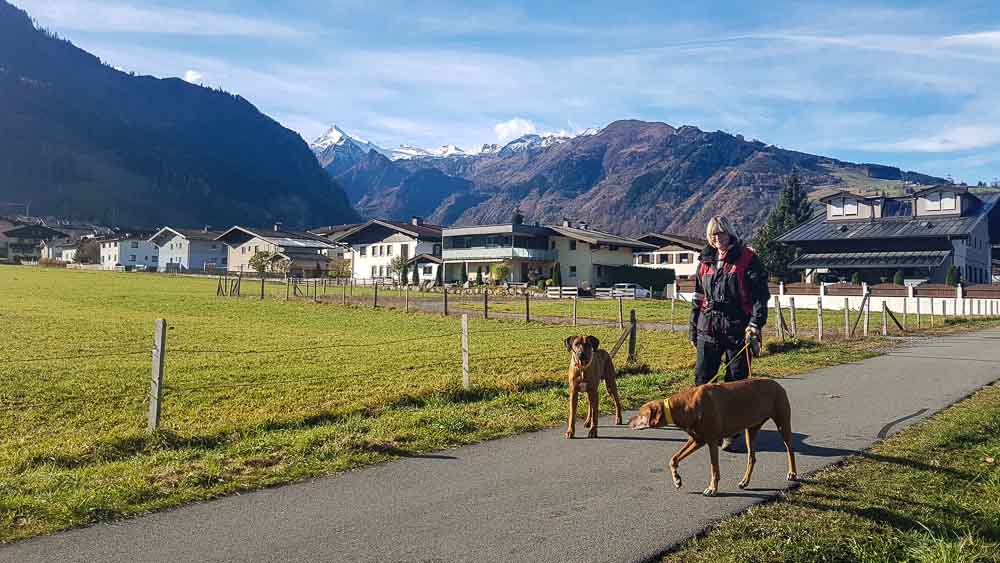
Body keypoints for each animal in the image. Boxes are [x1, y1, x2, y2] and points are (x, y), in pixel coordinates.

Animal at [628, 382, 800, 496]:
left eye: (640, 413)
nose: (629, 421)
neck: (686, 405)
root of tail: (778, 385)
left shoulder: (711, 441)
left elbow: (714, 468)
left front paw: (712, 488)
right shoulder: (697, 440)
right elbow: (673, 459)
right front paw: (677, 479)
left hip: (782, 422)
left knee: (790, 449)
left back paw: (792, 473)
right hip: (751, 430)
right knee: (752, 457)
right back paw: (745, 481)